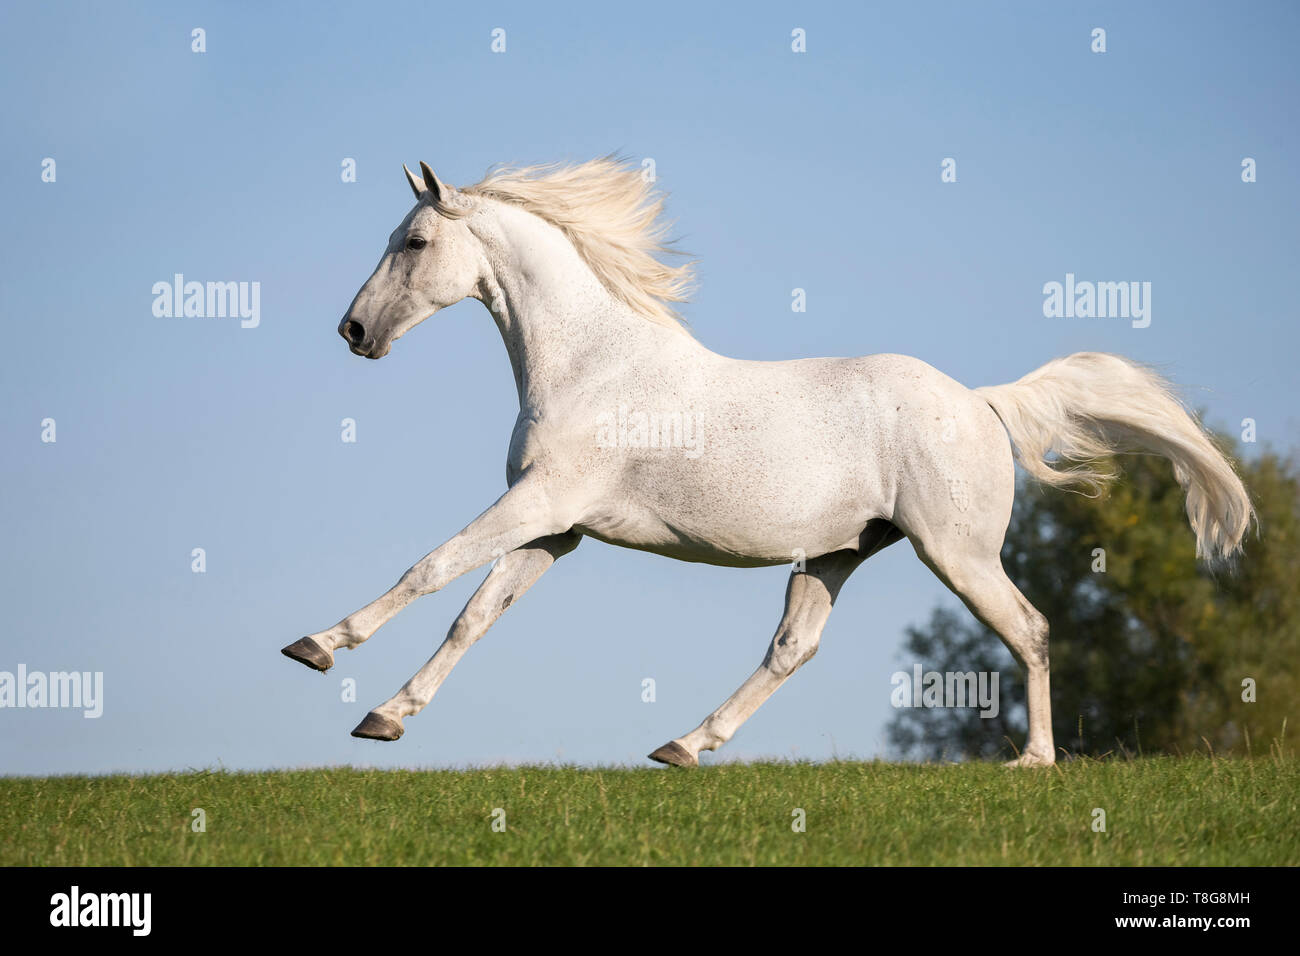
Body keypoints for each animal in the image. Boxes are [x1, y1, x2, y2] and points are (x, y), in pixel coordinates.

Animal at [281, 158, 1253, 767]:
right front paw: (384, 719)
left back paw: (1034, 763)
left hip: (957, 553)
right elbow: (472, 616)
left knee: (1032, 629)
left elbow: (429, 568)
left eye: (413, 243)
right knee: (793, 648)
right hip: (837, 552)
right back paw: (683, 745)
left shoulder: (541, 505)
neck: (595, 362)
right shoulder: (557, 529)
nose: (353, 331)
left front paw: (318, 649)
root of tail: (981, 402)